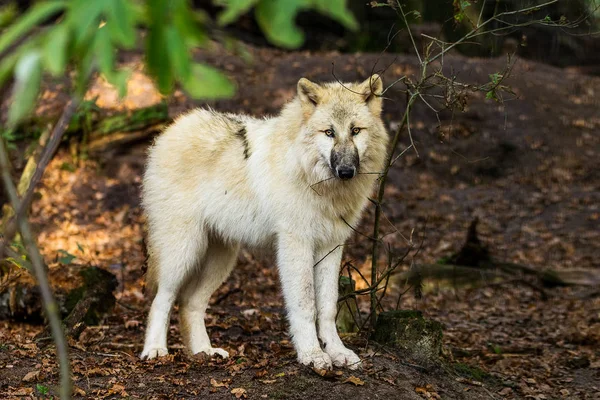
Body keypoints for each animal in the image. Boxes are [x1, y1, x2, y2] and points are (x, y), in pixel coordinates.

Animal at [143, 74, 392, 368]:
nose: (345, 171)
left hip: (222, 259)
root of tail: (171, 129)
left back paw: (205, 352)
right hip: (183, 251)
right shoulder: (296, 244)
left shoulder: (331, 246)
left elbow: (328, 307)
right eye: (329, 132)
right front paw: (312, 355)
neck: (315, 179)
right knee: (161, 298)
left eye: (355, 131)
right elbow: (305, 304)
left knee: (189, 303)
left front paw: (337, 351)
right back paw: (155, 350)